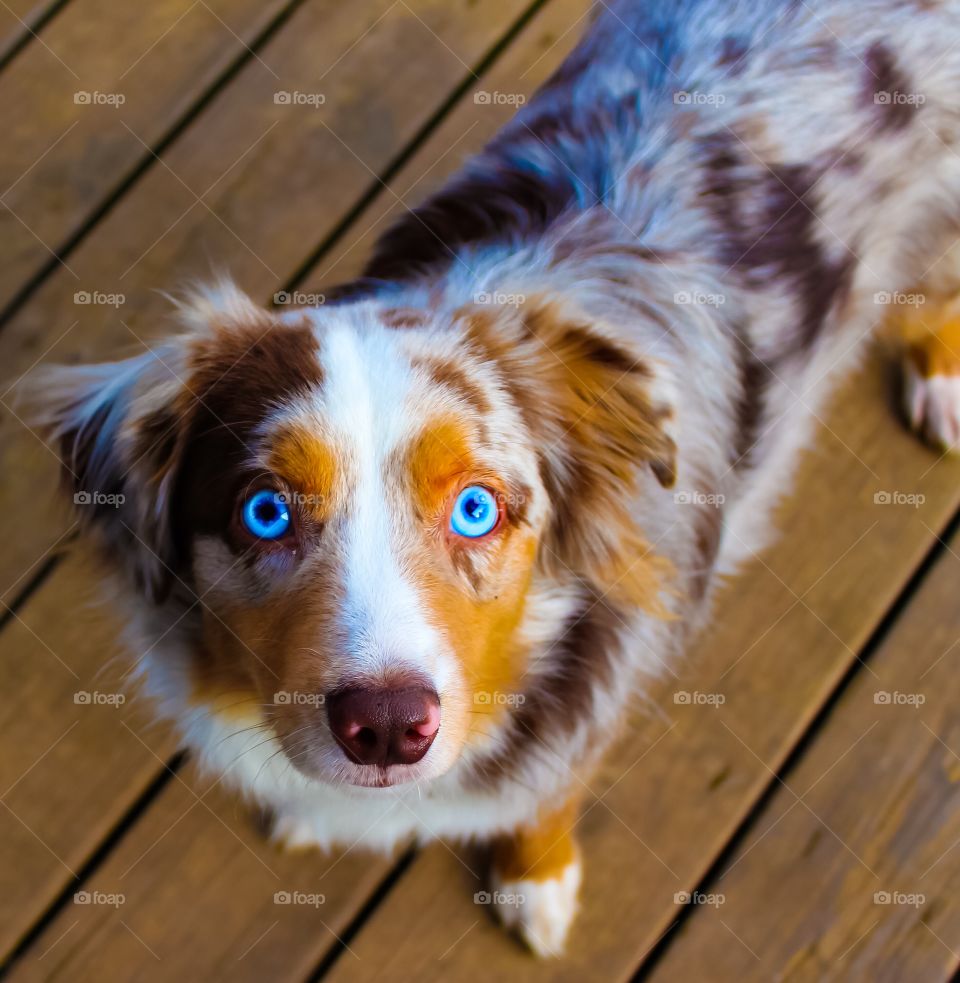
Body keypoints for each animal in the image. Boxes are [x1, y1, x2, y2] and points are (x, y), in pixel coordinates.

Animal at [24, 0, 960, 956]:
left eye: (476, 508)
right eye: (265, 511)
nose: (387, 726)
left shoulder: (589, 707)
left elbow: (549, 794)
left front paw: (536, 878)